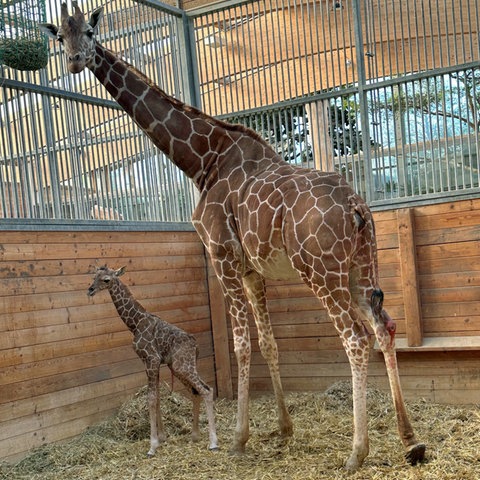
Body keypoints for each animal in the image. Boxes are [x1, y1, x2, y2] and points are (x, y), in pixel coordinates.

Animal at [87, 264, 218, 456]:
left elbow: (151, 398)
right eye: (93, 276)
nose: (90, 290)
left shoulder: (152, 359)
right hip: (180, 367)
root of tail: (196, 346)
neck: (135, 324)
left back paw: (213, 442)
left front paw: (153, 445)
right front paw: (162, 438)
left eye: (106, 279)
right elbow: (156, 398)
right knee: (197, 391)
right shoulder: (149, 362)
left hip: (182, 366)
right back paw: (195, 436)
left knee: (206, 390)